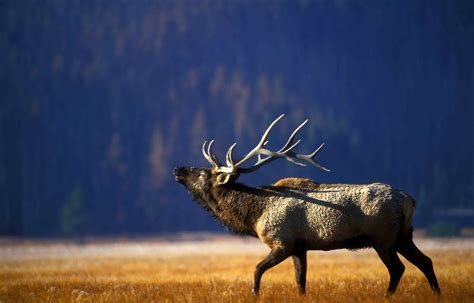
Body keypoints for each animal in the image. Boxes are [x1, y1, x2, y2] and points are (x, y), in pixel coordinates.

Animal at [173, 114, 440, 296]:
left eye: (203, 173)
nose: (178, 169)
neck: (255, 215)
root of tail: (409, 200)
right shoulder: (300, 248)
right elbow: (300, 282)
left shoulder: (282, 242)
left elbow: (257, 270)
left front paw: (255, 295)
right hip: (404, 235)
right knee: (425, 261)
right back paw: (436, 293)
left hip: (382, 238)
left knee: (398, 269)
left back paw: (387, 296)